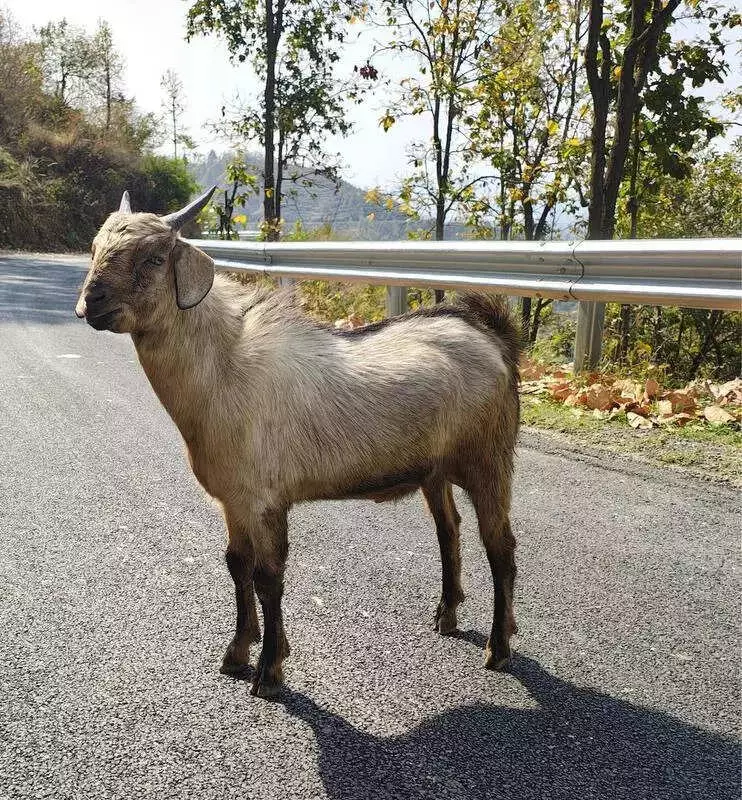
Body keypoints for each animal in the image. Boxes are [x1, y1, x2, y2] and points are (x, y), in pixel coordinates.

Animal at [75, 187, 522, 698]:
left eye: (152, 257)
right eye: (95, 249)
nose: (91, 302)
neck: (222, 369)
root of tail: (494, 337)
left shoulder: (266, 498)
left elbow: (268, 577)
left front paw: (269, 669)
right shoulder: (235, 500)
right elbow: (237, 564)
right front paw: (237, 651)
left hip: (490, 462)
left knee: (501, 548)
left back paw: (499, 647)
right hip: (436, 471)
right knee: (450, 530)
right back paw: (446, 615)